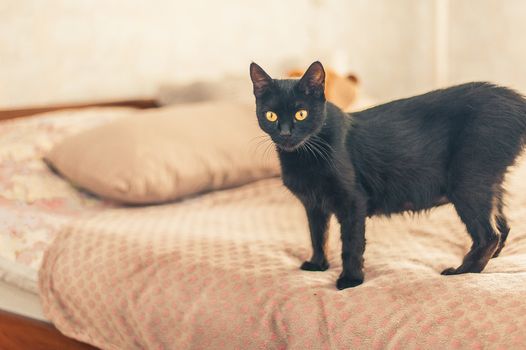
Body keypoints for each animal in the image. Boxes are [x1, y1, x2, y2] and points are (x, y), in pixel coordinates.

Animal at [251, 60, 526, 290]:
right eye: (271, 115)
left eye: (301, 114)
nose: (285, 133)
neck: (303, 155)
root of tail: (516, 100)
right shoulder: (314, 205)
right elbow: (318, 236)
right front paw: (318, 265)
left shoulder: (353, 202)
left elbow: (351, 245)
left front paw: (350, 280)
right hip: (489, 183)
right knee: (503, 226)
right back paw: (491, 260)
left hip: (468, 182)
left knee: (489, 235)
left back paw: (463, 272)